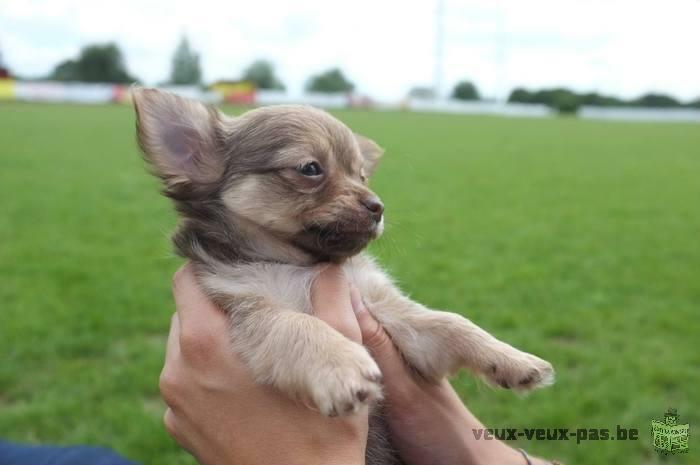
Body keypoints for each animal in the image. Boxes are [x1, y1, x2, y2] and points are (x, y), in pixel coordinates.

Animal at [134, 88, 556, 464]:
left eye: (362, 176)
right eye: (310, 169)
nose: (378, 206)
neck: (301, 264)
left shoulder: (390, 314)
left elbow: (449, 322)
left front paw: (513, 359)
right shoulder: (248, 307)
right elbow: (298, 324)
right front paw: (342, 365)